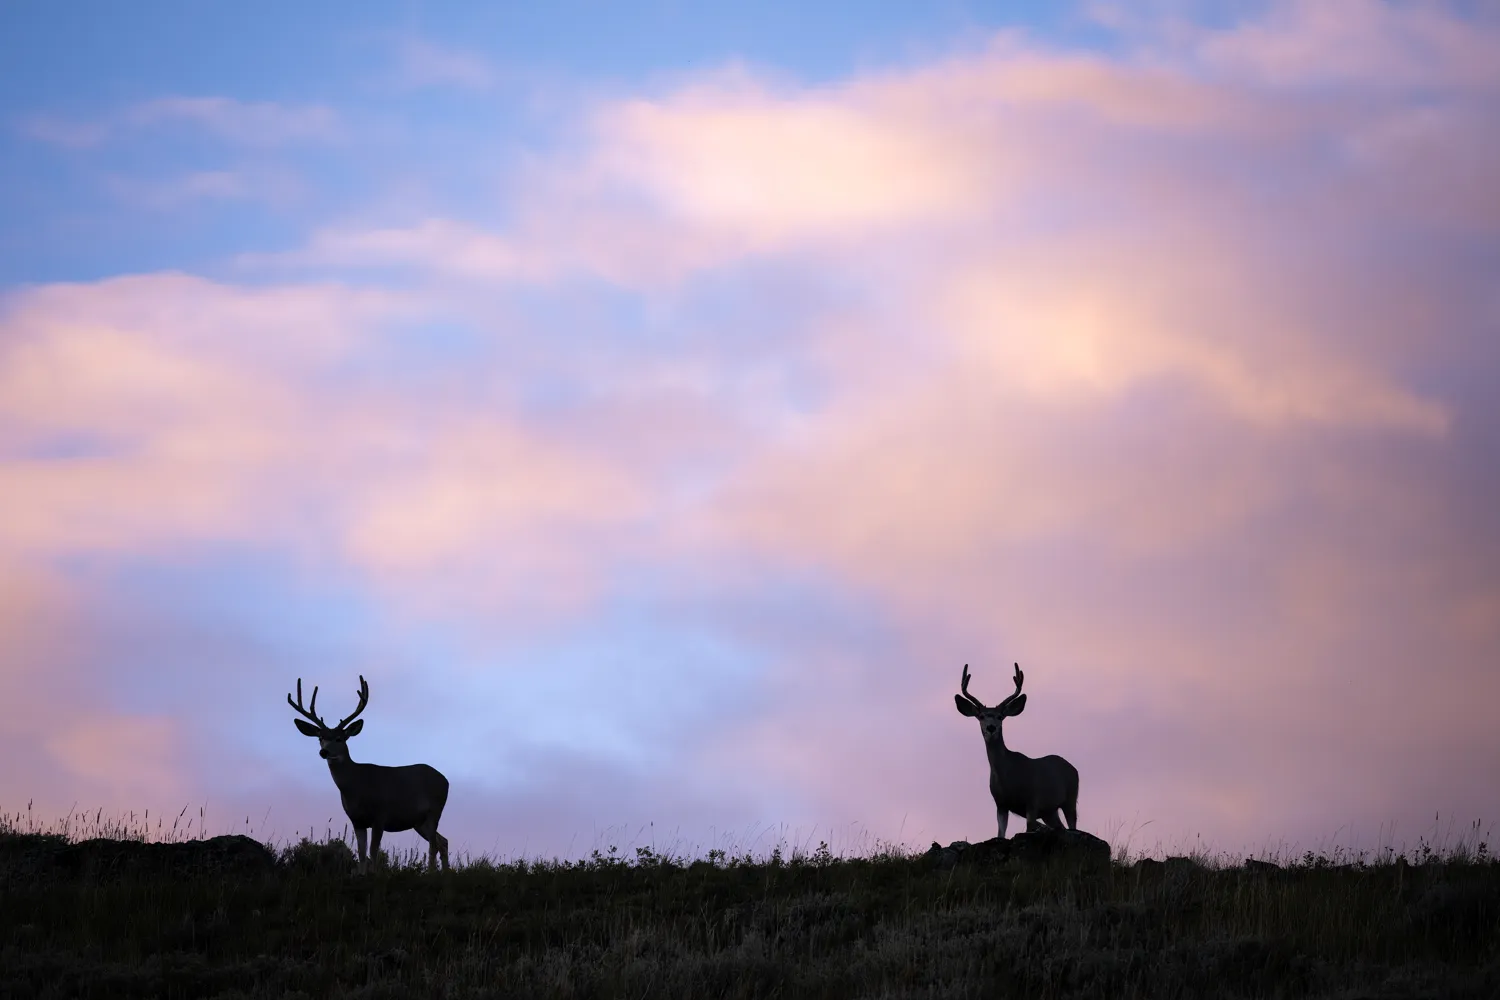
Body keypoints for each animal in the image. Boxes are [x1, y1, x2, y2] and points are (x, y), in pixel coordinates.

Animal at [288, 677, 447, 869]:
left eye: (339, 738)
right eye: (320, 738)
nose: (324, 752)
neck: (356, 787)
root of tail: (445, 780)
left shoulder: (380, 816)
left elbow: (373, 852)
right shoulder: (357, 821)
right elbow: (362, 854)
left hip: (434, 811)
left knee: (433, 845)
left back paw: (432, 872)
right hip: (418, 821)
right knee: (443, 841)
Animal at [954, 668, 1086, 839]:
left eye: (1000, 717)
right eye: (981, 716)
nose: (991, 728)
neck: (1007, 777)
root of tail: (1073, 768)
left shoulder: (1033, 800)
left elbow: (1029, 828)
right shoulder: (1001, 804)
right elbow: (1000, 833)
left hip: (1071, 798)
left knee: (1072, 824)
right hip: (1049, 812)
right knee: (1060, 827)